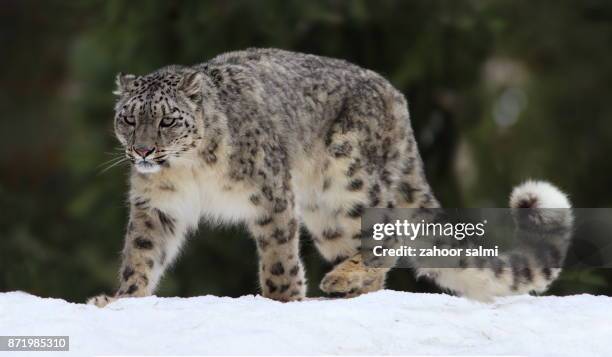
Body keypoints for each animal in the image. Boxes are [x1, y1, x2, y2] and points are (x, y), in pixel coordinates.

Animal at [87, 48, 572, 306]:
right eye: (128, 118)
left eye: (167, 120)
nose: (143, 150)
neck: (188, 171)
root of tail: (398, 99)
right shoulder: (156, 205)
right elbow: (142, 254)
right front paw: (121, 299)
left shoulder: (270, 193)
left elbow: (278, 254)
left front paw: (283, 299)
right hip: (326, 212)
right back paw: (350, 289)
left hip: (349, 177)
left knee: (389, 236)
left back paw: (340, 280)